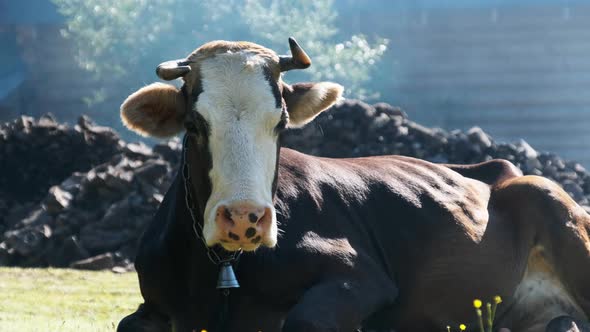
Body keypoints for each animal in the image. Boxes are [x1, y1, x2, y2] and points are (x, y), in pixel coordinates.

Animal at [117, 37, 590, 330]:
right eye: (193, 125)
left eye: (281, 123)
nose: (244, 217)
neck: (223, 272)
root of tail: (500, 169)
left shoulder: (363, 277)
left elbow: (306, 319)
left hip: (555, 207)